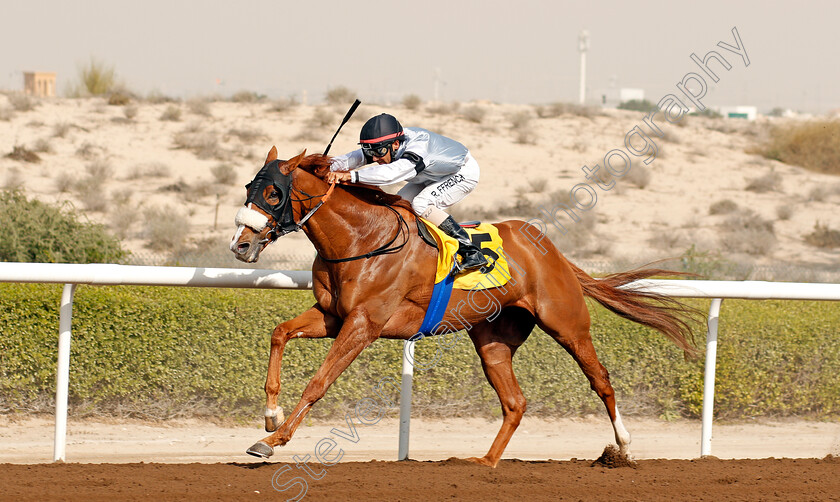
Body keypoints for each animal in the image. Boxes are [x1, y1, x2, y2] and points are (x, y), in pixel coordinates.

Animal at [230, 148, 696, 466]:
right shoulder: (332, 316)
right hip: (492, 340)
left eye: (273, 193)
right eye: (250, 188)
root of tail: (551, 250)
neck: (362, 239)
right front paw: (270, 416)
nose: (241, 245)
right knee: (515, 402)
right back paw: (484, 462)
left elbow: (319, 382)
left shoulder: (363, 324)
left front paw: (271, 442)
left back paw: (623, 446)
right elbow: (279, 333)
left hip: (567, 324)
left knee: (601, 380)